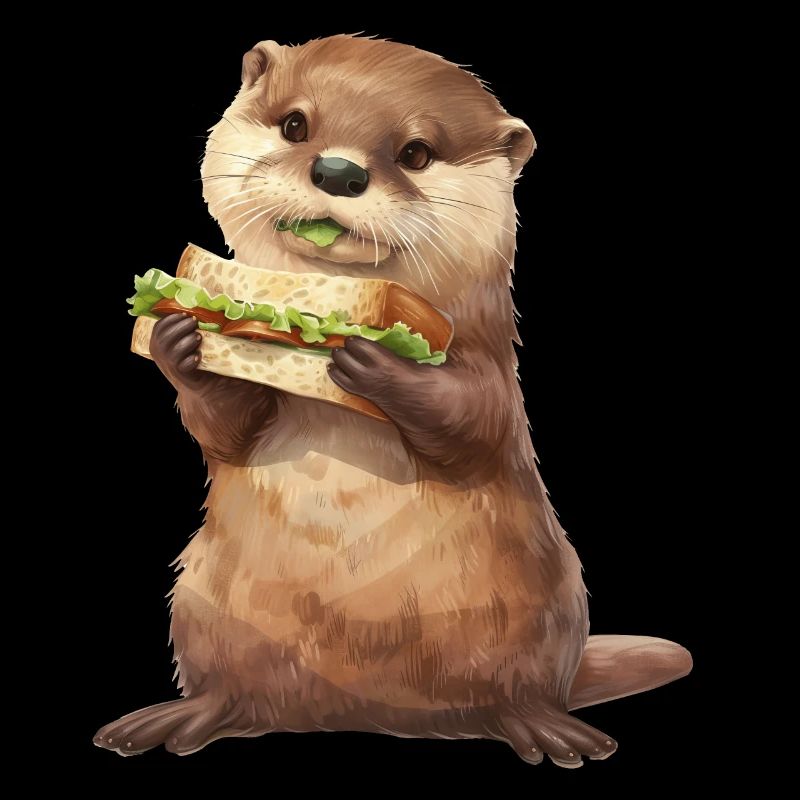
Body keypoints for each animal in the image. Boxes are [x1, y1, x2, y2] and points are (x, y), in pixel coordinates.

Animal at [95, 34, 691, 766]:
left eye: (416, 153)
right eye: (296, 124)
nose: (338, 171)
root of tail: (358, 708)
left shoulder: (489, 368)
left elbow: (474, 424)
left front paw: (376, 360)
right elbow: (224, 431)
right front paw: (180, 340)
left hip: (544, 614)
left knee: (517, 691)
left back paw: (548, 729)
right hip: (200, 609)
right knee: (234, 691)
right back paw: (179, 718)